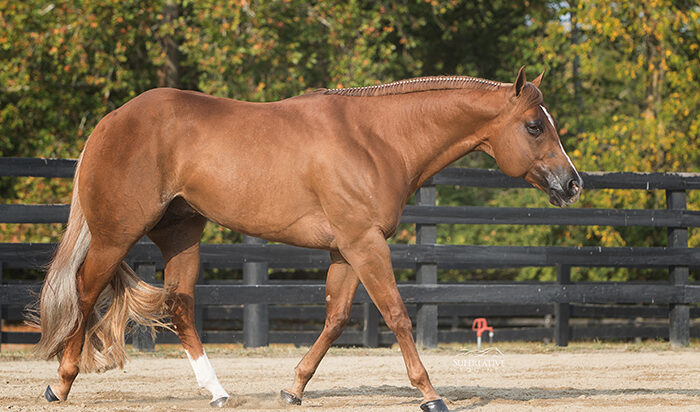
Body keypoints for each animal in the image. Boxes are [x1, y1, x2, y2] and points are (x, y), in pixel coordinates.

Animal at [30, 66, 581, 412]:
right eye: (535, 125)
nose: (573, 183)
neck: (377, 139)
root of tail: (110, 123)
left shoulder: (345, 249)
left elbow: (336, 320)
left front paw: (293, 389)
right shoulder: (365, 244)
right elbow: (397, 315)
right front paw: (430, 394)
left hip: (181, 233)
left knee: (179, 305)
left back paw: (217, 392)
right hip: (116, 235)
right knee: (85, 293)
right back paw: (61, 384)